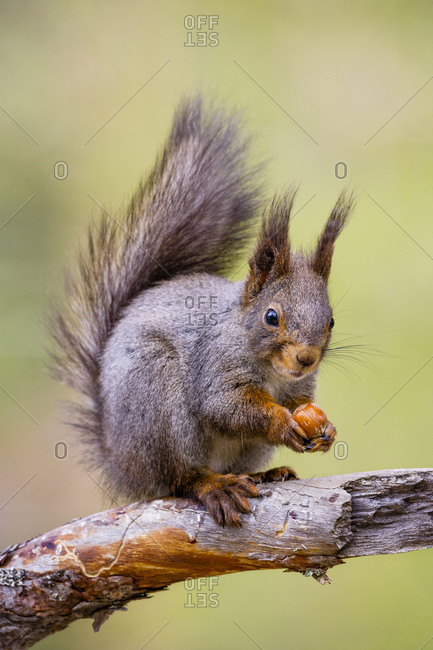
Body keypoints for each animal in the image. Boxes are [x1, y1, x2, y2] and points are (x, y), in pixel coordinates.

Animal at [50, 95, 354, 527]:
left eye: (330, 321)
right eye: (271, 317)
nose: (306, 358)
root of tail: (121, 464)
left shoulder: (299, 387)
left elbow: (300, 403)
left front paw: (325, 428)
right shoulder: (215, 365)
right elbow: (224, 406)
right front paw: (281, 422)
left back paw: (267, 474)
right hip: (157, 401)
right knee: (180, 478)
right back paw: (215, 486)